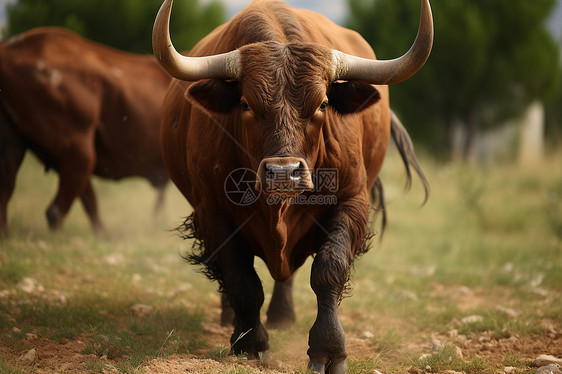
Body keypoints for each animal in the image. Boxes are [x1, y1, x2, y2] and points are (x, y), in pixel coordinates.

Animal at [151, 0, 430, 372]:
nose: (284, 174)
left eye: (323, 103)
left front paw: (328, 349)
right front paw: (249, 343)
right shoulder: (212, 211)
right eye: (245, 104)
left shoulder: (351, 201)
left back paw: (283, 316)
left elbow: (328, 269)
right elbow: (241, 279)